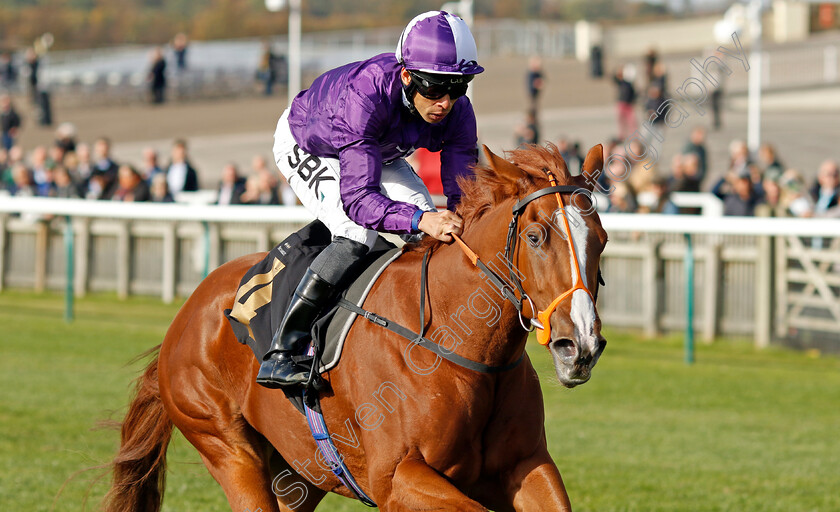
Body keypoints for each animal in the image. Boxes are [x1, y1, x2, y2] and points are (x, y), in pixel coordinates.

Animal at [103, 145, 604, 512]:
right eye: (536, 237)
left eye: (600, 240)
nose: (579, 345)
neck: (454, 344)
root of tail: (187, 315)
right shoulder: (397, 477)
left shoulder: (527, 464)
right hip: (225, 445)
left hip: (299, 470)